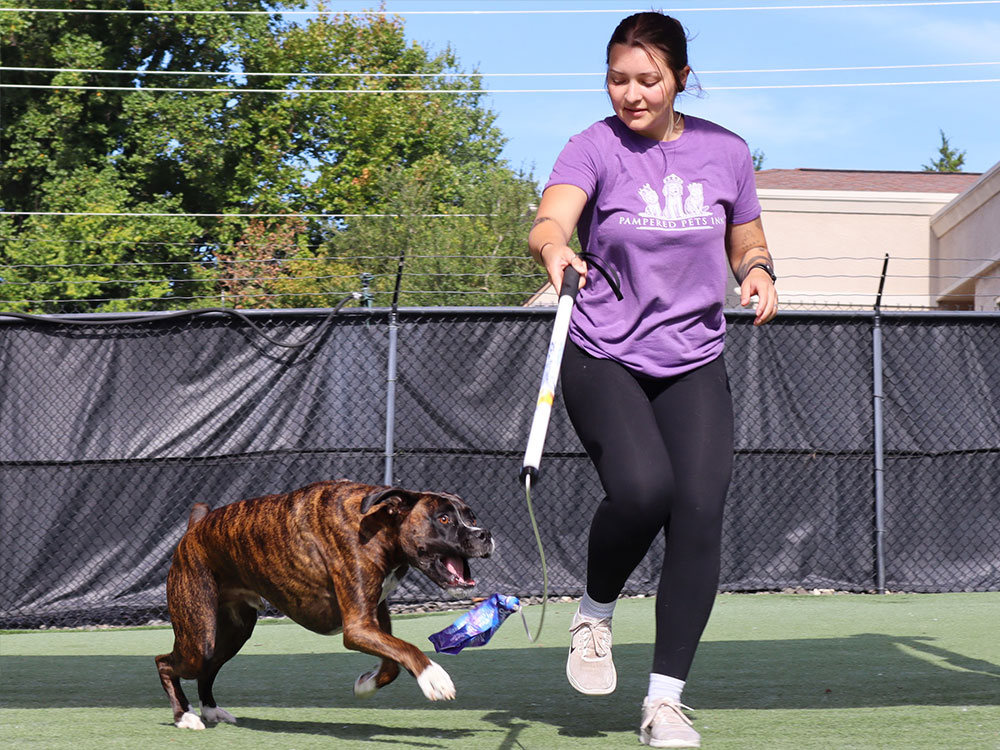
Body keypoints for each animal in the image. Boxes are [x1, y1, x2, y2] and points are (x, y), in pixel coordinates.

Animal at [154, 478, 494, 732]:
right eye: (444, 519)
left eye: (472, 517)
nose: (485, 534)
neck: (379, 524)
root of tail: (194, 529)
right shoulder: (358, 628)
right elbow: (407, 649)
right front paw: (434, 677)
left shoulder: (372, 621)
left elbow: (392, 663)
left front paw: (367, 685)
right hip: (199, 637)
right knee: (164, 662)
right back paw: (184, 716)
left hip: (229, 636)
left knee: (207, 669)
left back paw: (210, 710)